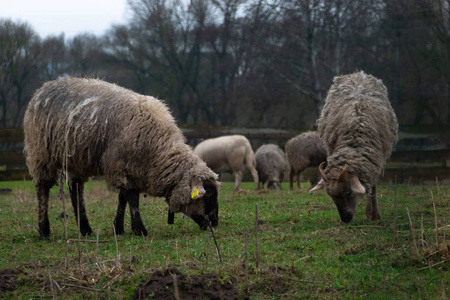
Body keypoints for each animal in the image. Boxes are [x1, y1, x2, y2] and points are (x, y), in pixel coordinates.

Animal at [23, 77, 221, 239]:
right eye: (208, 196)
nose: (215, 223)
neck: (158, 148)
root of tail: (43, 87)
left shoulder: (128, 167)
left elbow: (122, 198)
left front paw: (118, 228)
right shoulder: (121, 166)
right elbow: (132, 198)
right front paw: (139, 230)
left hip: (75, 158)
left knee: (76, 189)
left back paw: (85, 229)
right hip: (40, 152)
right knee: (42, 189)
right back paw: (44, 230)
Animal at [310, 71, 398, 223]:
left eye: (348, 192)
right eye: (330, 196)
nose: (345, 219)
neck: (355, 139)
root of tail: (358, 73)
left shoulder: (374, 161)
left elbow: (372, 187)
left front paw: (374, 215)